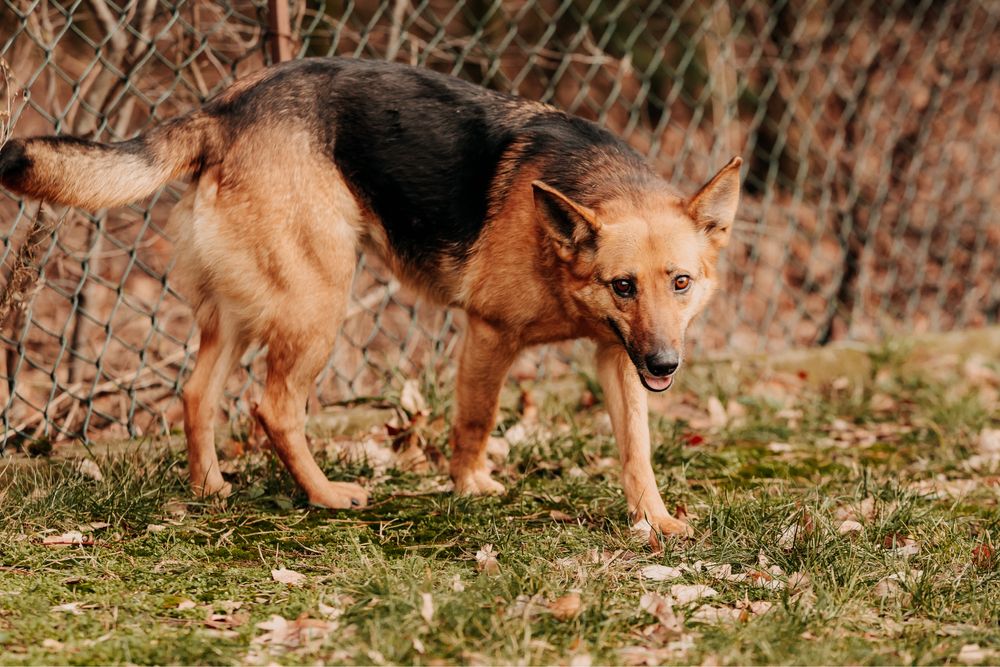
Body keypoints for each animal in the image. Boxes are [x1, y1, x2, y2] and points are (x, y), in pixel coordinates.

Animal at [0, 58, 740, 536]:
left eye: (680, 282)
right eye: (623, 285)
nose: (667, 365)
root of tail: (224, 109)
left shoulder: (618, 358)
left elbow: (636, 449)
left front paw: (656, 518)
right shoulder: (489, 334)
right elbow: (475, 423)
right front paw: (470, 487)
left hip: (245, 308)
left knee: (197, 392)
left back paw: (208, 487)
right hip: (320, 300)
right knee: (273, 405)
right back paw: (325, 495)